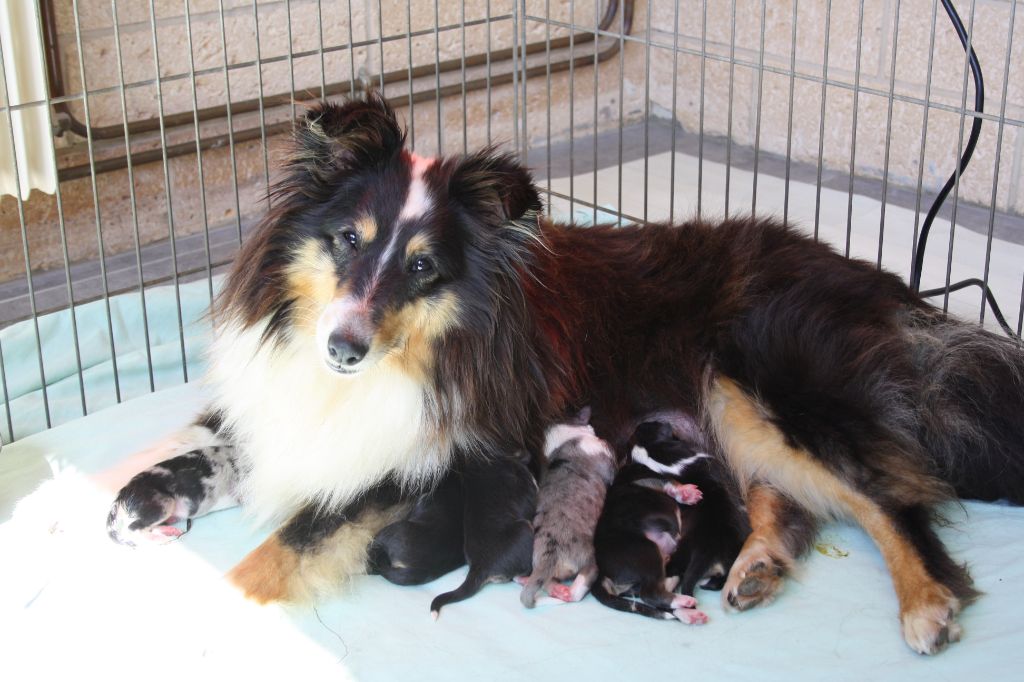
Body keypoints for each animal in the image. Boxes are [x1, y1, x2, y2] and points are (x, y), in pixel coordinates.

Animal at [520, 409, 614, 606]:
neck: (566, 440)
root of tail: (550, 554)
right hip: (588, 558)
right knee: (585, 579)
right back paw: (569, 592)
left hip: (541, 567)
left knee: (546, 582)